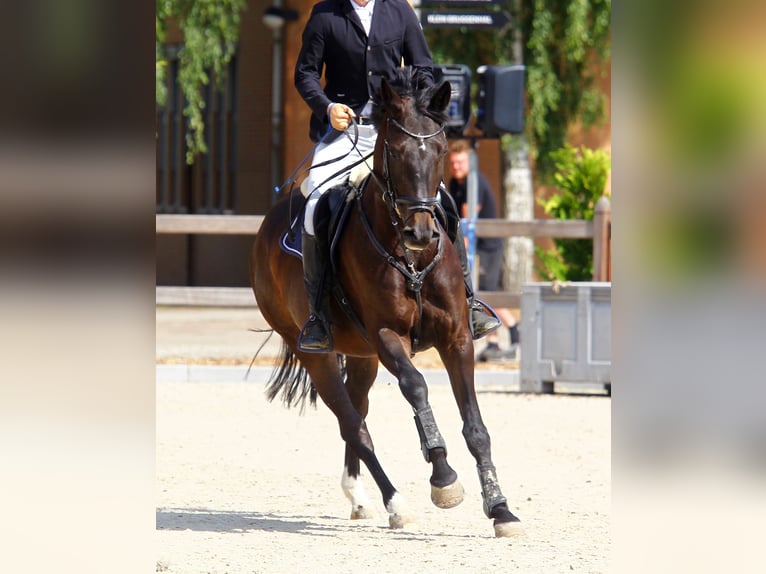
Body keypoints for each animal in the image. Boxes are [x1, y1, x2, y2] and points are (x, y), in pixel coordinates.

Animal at [252, 72, 520, 540]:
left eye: (441, 150)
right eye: (394, 151)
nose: (420, 232)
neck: (410, 257)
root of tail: (268, 226)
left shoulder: (457, 337)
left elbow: (476, 426)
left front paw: (500, 509)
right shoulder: (385, 336)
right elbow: (417, 387)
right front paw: (443, 480)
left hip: (361, 357)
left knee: (357, 411)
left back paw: (359, 498)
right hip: (316, 352)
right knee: (352, 424)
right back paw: (396, 504)